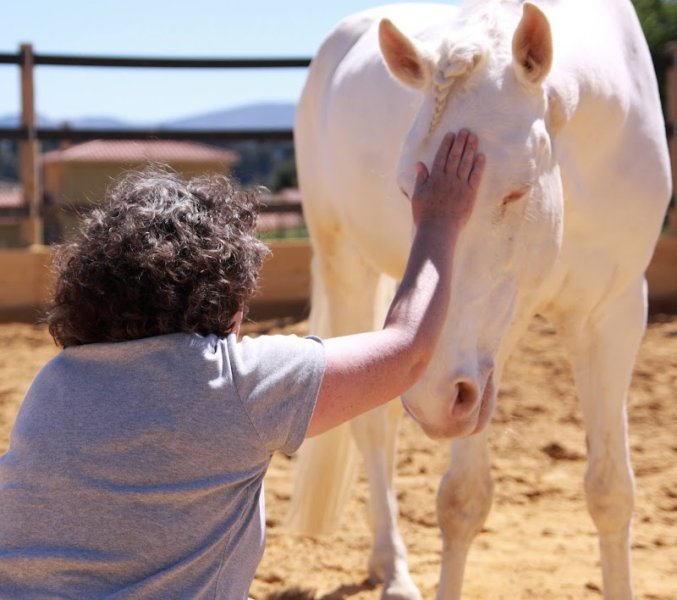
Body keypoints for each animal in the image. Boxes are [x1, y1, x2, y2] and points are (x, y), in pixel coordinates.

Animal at [287, 1, 671, 598]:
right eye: (406, 188)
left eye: (516, 190)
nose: (432, 400)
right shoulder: (481, 352)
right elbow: (462, 501)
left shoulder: (615, 315)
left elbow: (611, 492)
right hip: (345, 263)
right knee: (371, 427)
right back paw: (394, 568)